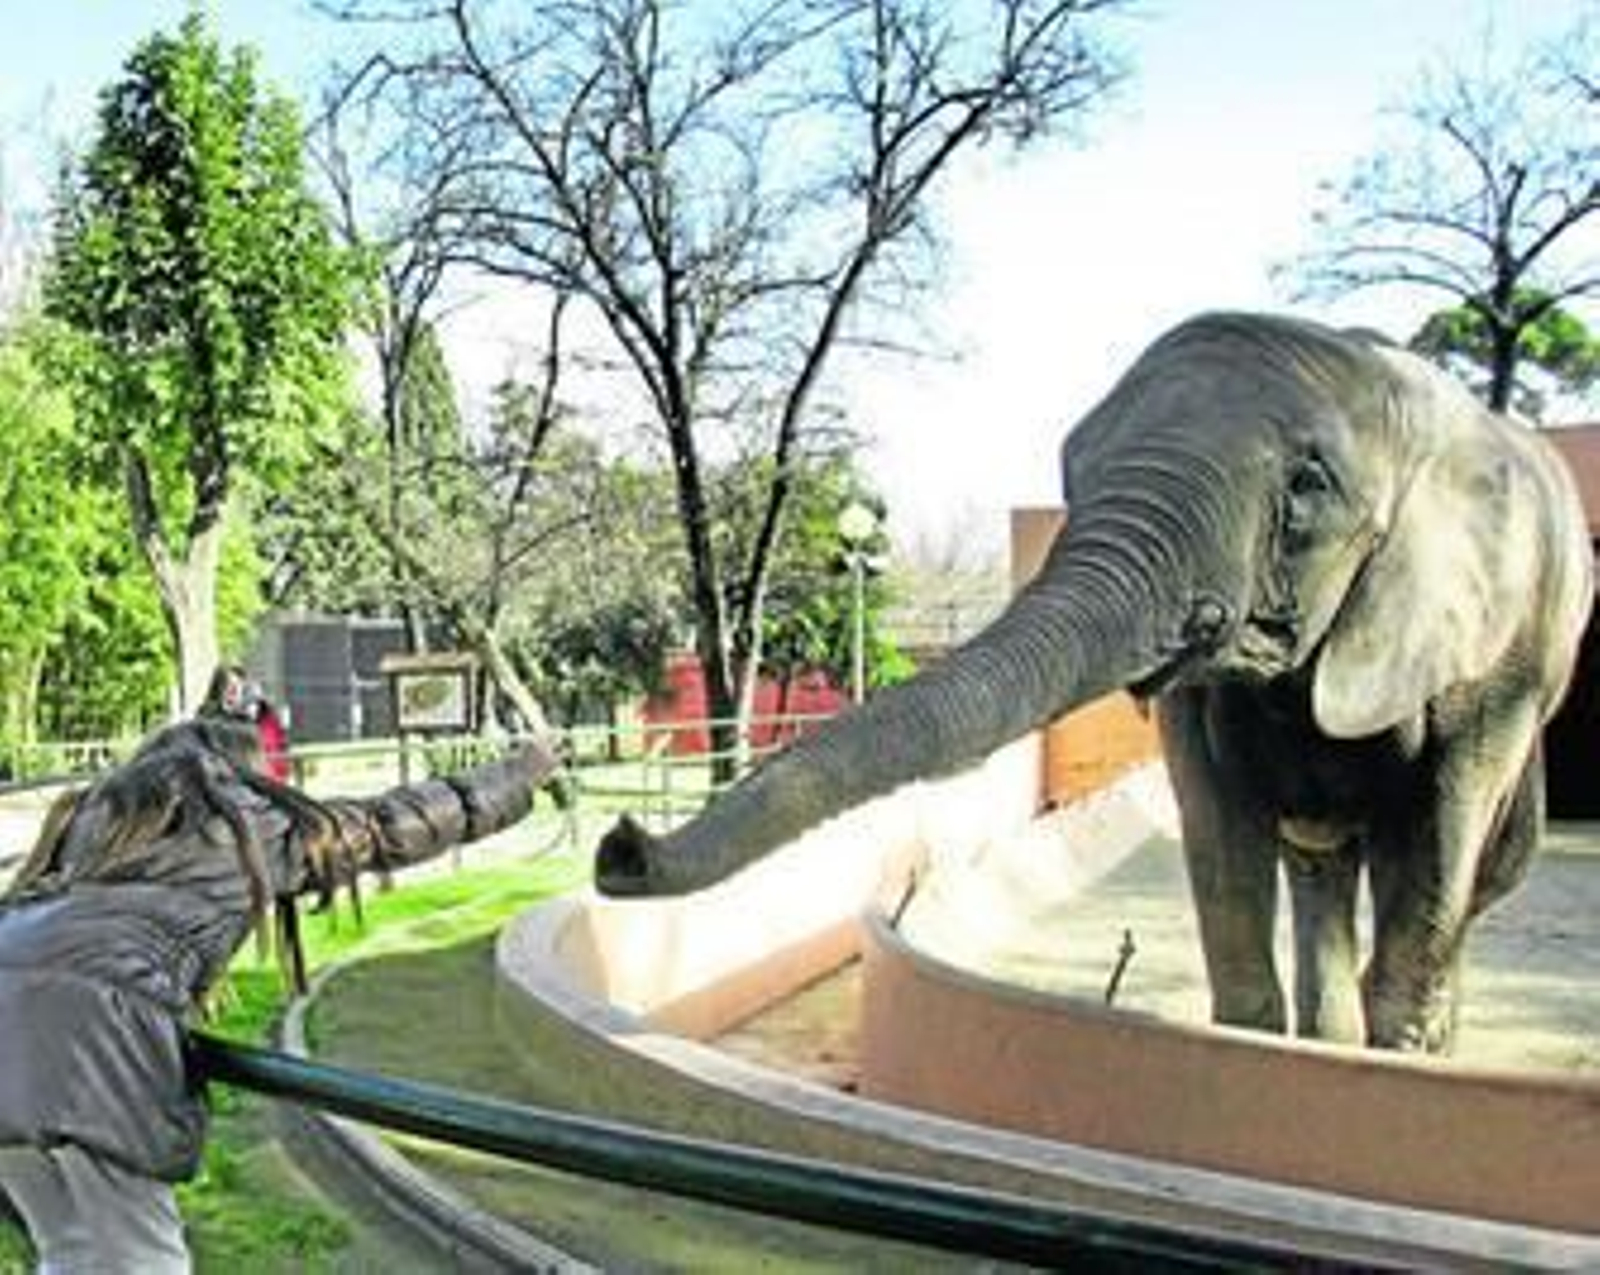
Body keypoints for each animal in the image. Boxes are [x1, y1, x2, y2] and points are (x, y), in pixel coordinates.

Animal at [596, 310, 1594, 1053]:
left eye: (1309, 484)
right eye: (1073, 464)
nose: (619, 847)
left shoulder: (1495, 653)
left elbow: (1439, 827)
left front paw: (1389, 1057)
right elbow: (1216, 820)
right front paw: (1258, 1045)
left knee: (1457, 871)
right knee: (1322, 863)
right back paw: (1328, 1040)